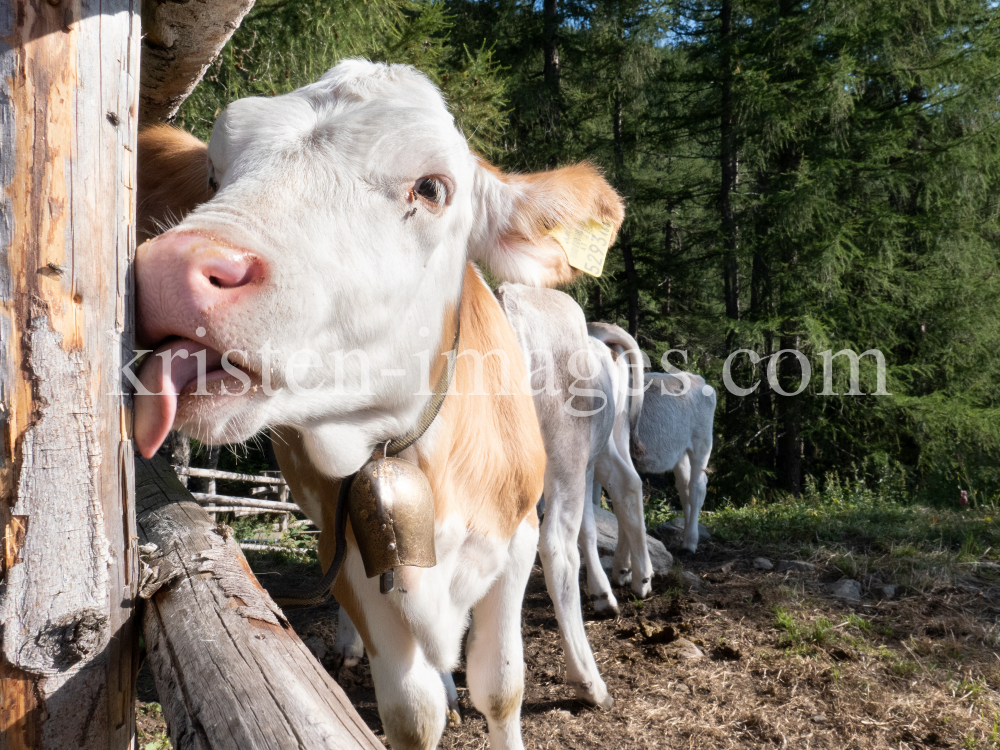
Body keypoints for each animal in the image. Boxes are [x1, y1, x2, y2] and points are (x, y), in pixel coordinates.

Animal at [136, 60, 624, 750]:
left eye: (432, 187)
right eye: (213, 174)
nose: (170, 272)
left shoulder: (513, 535)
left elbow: (502, 687)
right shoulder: (351, 553)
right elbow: (412, 712)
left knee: (566, 547)